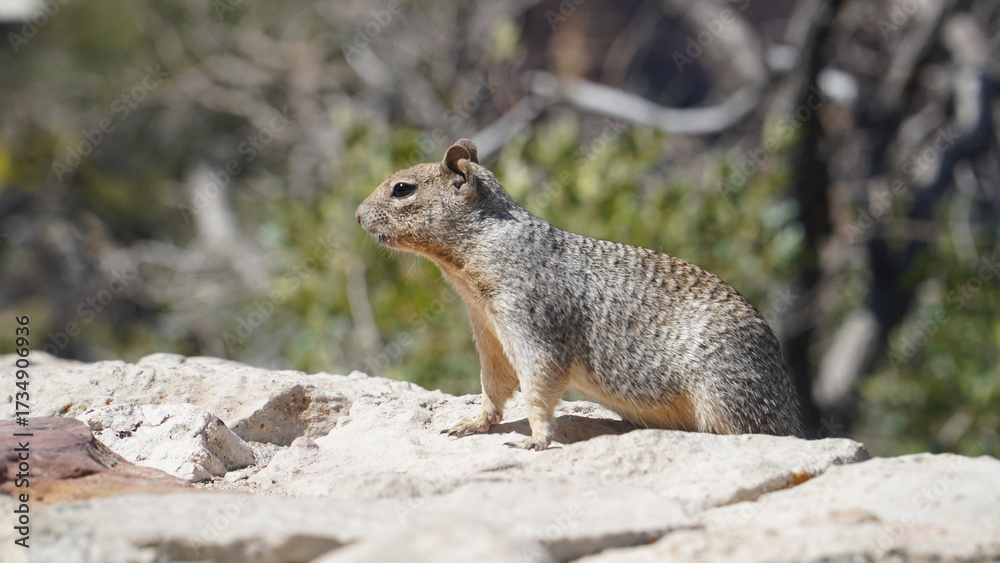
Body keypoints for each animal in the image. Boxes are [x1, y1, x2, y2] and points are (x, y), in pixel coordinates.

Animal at [356, 138, 805, 450]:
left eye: (402, 188)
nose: (357, 216)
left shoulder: (530, 319)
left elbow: (538, 381)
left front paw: (535, 439)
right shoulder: (488, 329)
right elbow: (494, 383)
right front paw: (472, 423)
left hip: (726, 388)